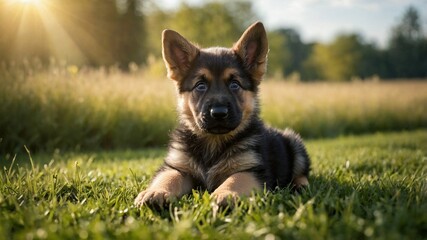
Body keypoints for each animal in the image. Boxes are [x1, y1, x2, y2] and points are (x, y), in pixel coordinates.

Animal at [136, 22, 310, 206]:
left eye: (235, 84)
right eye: (200, 85)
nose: (218, 113)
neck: (213, 142)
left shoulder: (252, 170)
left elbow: (235, 179)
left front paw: (224, 194)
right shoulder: (179, 167)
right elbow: (169, 177)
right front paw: (155, 191)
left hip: (295, 144)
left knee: (302, 172)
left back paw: (300, 185)